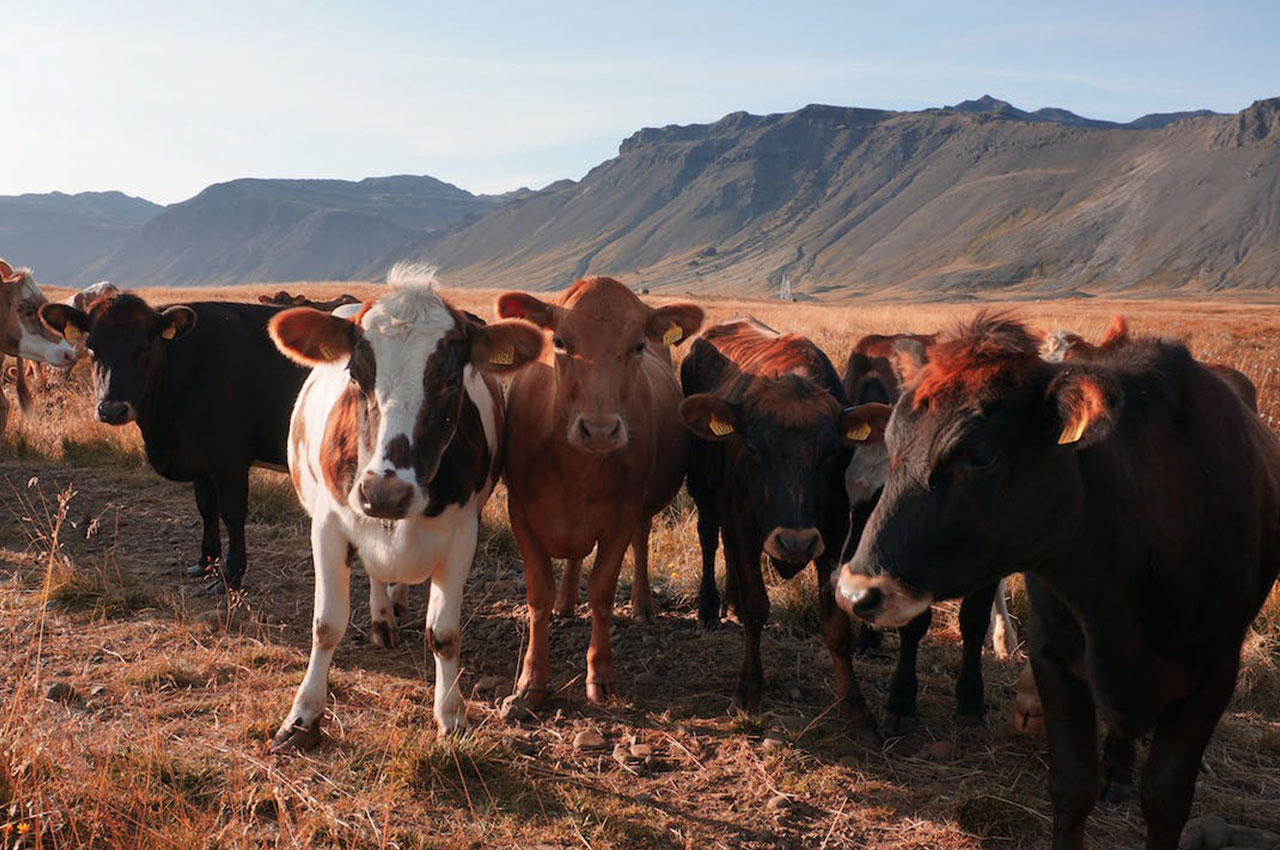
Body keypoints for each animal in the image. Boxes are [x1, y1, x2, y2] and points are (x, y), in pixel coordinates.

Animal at [42, 291, 307, 591]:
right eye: (92, 349)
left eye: (145, 348)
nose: (111, 410)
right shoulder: (201, 460)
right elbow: (206, 507)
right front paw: (205, 561)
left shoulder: (229, 459)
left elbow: (232, 513)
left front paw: (231, 576)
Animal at [267, 266, 542, 752]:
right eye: (356, 374)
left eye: (450, 379)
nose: (384, 493)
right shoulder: (329, 525)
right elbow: (326, 625)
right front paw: (302, 716)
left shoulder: (462, 534)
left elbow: (445, 634)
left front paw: (451, 715)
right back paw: (382, 620)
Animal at [496, 279, 701, 701]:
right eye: (559, 341)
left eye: (637, 345)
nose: (601, 430)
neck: (577, 471)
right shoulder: (520, 513)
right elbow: (538, 595)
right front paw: (532, 679)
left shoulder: (622, 517)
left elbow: (602, 592)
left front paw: (600, 673)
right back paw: (565, 602)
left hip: (643, 510)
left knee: (641, 543)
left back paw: (642, 605)